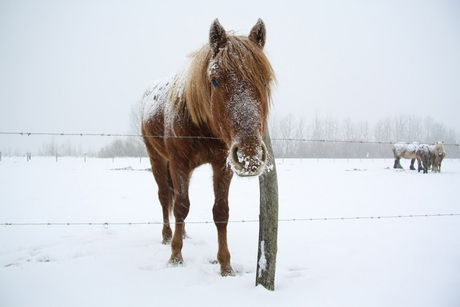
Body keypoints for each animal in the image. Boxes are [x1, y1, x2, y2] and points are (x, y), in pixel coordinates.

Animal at [140, 19, 274, 276]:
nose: (250, 156)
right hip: (157, 158)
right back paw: (167, 236)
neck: (202, 125)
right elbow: (181, 207)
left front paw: (226, 265)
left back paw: (183, 234)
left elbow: (220, 212)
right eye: (215, 80)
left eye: (265, 80)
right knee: (165, 197)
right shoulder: (179, 163)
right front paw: (175, 257)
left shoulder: (223, 165)